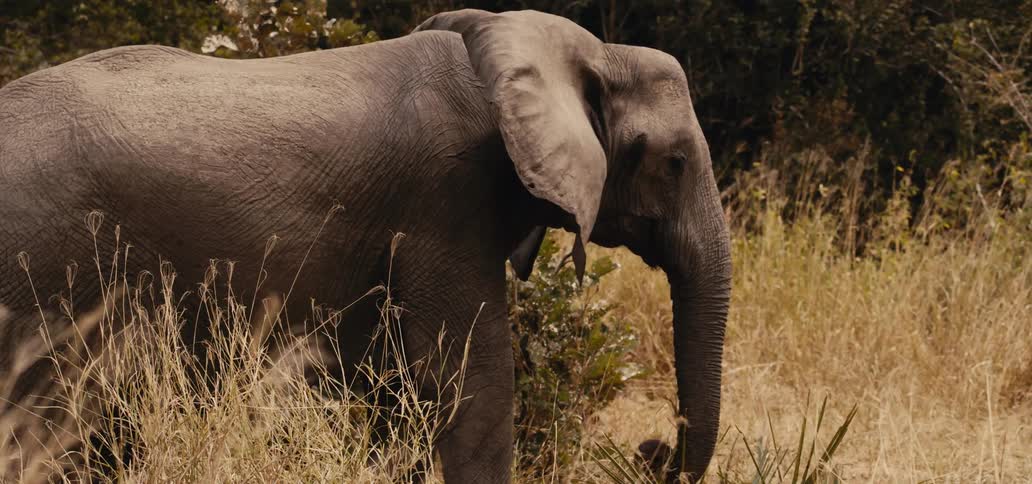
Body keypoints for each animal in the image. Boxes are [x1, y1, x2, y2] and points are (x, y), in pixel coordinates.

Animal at [0, 8, 731, 483]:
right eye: (673, 164)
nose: (650, 451)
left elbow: (400, 388)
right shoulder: (446, 199)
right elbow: (470, 381)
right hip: (44, 269)